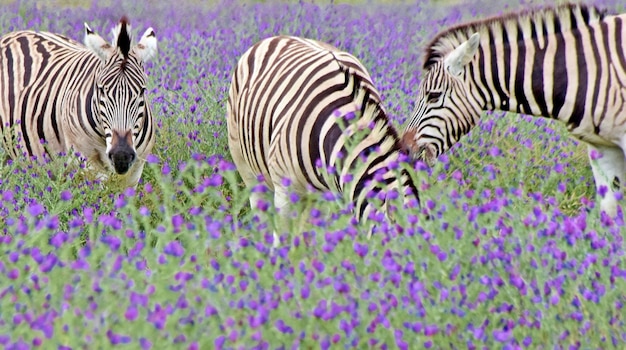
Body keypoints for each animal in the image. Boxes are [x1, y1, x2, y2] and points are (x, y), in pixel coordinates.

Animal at [0, 15, 156, 189]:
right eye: (101, 90)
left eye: (142, 91)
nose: (121, 156)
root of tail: (18, 32)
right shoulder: (85, 162)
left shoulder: (134, 171)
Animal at [225, 34, 420, 245]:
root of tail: (279, 36)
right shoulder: (284, 191)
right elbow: (284, 238)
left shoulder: (326, 196)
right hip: (244, 161)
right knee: (261, 214)